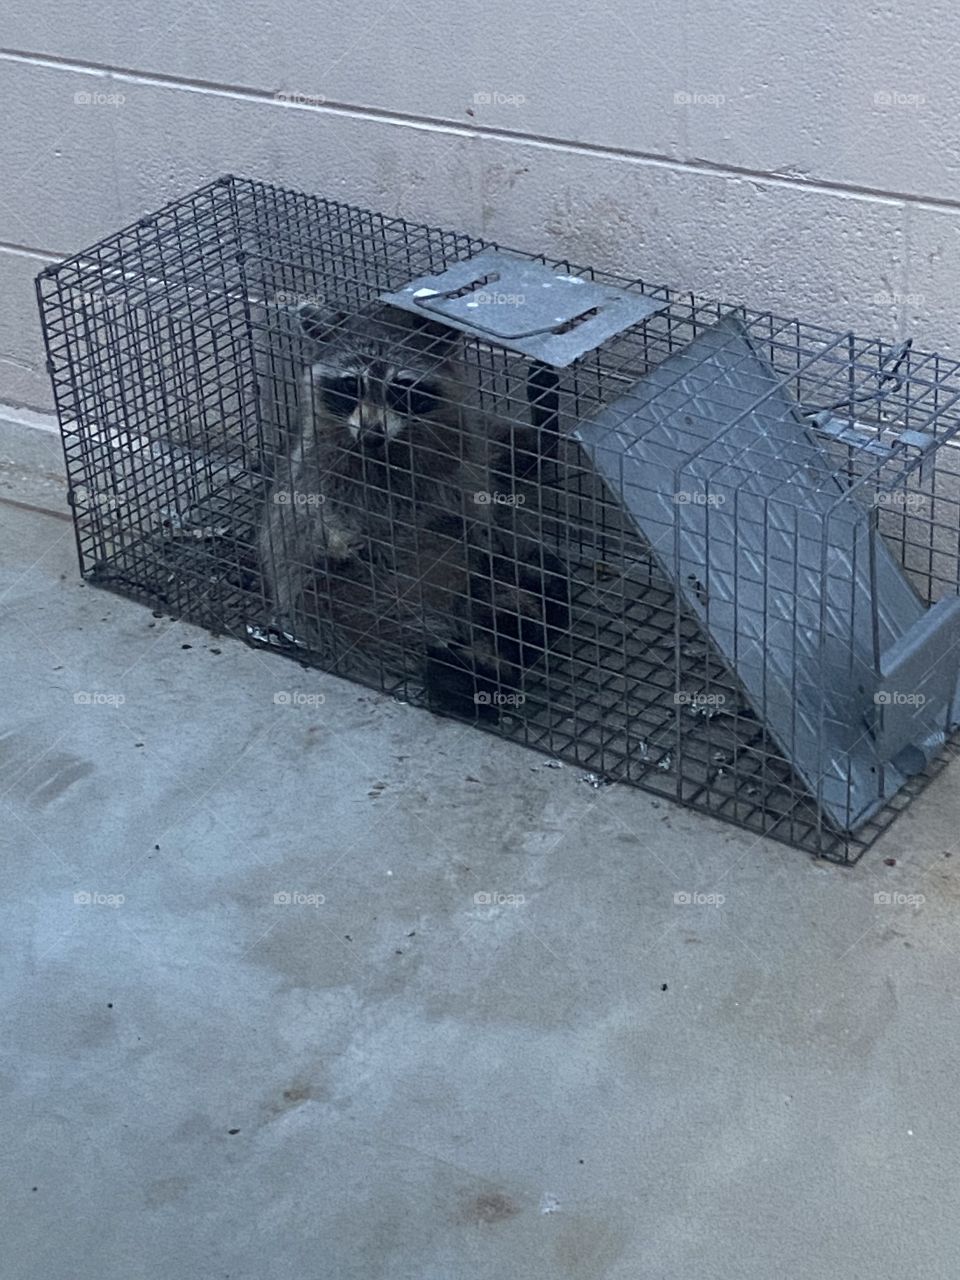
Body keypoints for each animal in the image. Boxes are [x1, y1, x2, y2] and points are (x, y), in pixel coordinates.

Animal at [257, 300, 569, 720]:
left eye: (400, 387)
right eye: (351, 385)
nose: (371, 434)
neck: (388, 450)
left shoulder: (463, 445)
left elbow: (493, 482)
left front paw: (541, 427)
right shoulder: (317, 461)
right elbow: (301, 515)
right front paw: (334, 535)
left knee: (487, 551)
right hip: (343, 599)